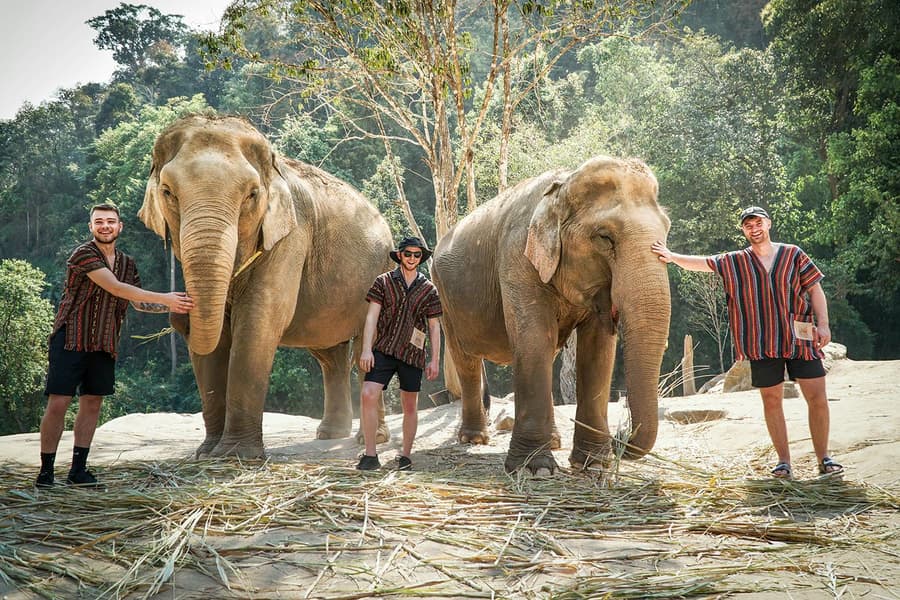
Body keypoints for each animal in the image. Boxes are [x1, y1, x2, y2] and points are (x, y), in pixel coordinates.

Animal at [139, 115, 394, 458]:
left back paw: (371, 439)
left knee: (365, 350)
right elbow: (217, 336)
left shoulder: (291, 236)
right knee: (330, 355)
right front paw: (207, 453)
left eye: (251, 195)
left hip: (382, 272)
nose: (178, 316)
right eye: (167, 192)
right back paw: (330, 434)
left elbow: (258, 321)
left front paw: (235, 455)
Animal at [432, 156, 671, 474]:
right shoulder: (517, 256)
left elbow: (597, 350)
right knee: (465, 360)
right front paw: (534, 469)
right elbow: (535, 339)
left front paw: (594, 464)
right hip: (445, 298)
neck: (563, 184)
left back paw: (555, 442)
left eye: (666, 231)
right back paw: (475, 439)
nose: (621, 436)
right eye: (604, 237)